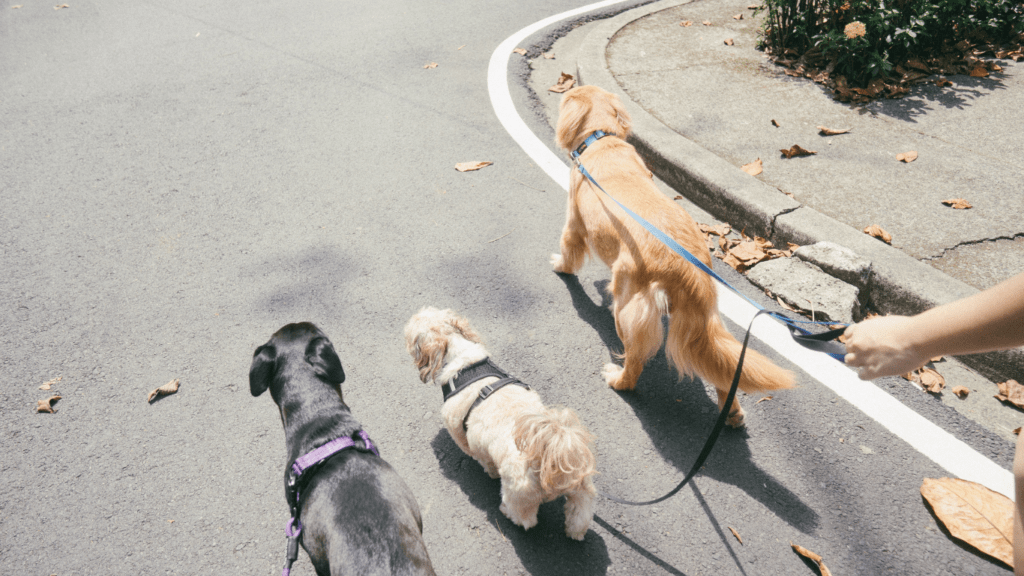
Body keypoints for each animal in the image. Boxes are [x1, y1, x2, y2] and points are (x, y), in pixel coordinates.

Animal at [403, 307, 598, 537]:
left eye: (410, 332)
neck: (464, 363)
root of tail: (550, 454)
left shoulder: (461, 433)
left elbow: (480, 457)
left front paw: (490, 472)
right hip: (581, 485)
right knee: (580, 514)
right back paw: (576, 531)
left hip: (519, 494)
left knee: (525, 518)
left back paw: (506, 511)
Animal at [552, 85, 790, 426]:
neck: (602, 140)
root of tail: (687, 268)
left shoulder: (573, 223)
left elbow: (568, 251)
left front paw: (560, 266)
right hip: (705, 323)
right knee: (722, 373)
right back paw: (731, 413)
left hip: (628, 309)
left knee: (635, 361)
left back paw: (618, 379)